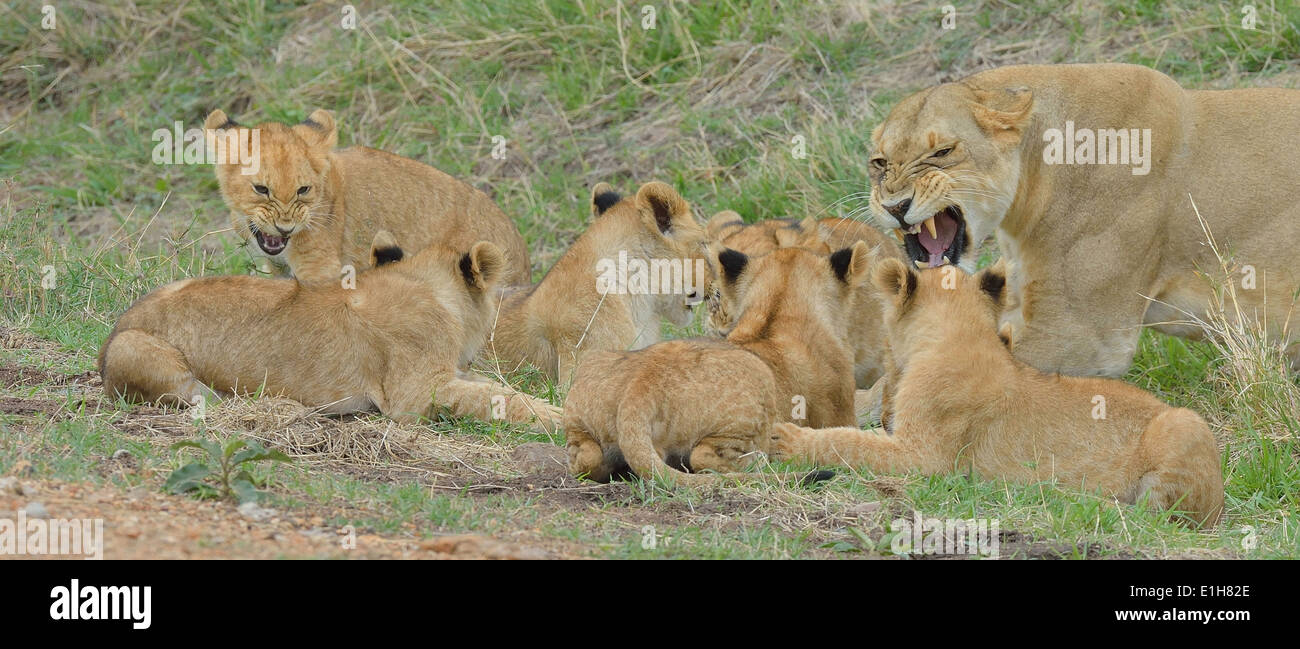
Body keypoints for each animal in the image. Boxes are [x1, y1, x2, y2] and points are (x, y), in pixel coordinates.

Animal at [99, 232, 561, 432]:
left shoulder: (451, 373)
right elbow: (499, 398)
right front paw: (558, 419)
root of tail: (116, 329)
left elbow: (497, 389)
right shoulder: (413, 395)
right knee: (193, 396)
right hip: (134, 348)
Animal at [563, 240, 874, 486]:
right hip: (758, 379)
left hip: (590, 387)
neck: (777, 310)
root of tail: (638, 388)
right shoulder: (841, 414)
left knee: (586, 460)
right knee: (704, 457)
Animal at [772, 258, 1224, 527]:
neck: (962, 333)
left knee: (1158, 517)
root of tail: (1221, 504)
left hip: (1183, 424)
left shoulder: (926, 457)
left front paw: (789, 440)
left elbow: (850, 442)